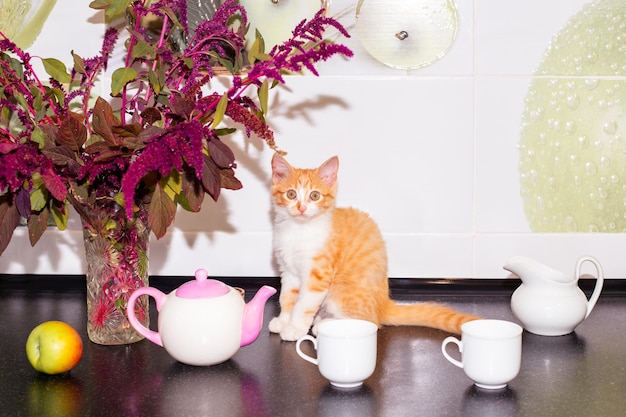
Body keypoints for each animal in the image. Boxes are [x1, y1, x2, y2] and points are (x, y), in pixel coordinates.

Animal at [266, 154, 478, 340]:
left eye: (315, 195)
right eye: (291, 194)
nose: (301, 208)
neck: (298, 230)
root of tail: (382, 305)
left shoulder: (318, 275)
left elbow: (303, 305)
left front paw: (294, 328)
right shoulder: (288, 270)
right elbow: (287, 297)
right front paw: (284, 321)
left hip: (341, 291)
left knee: (370, 321)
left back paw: (323, 324)